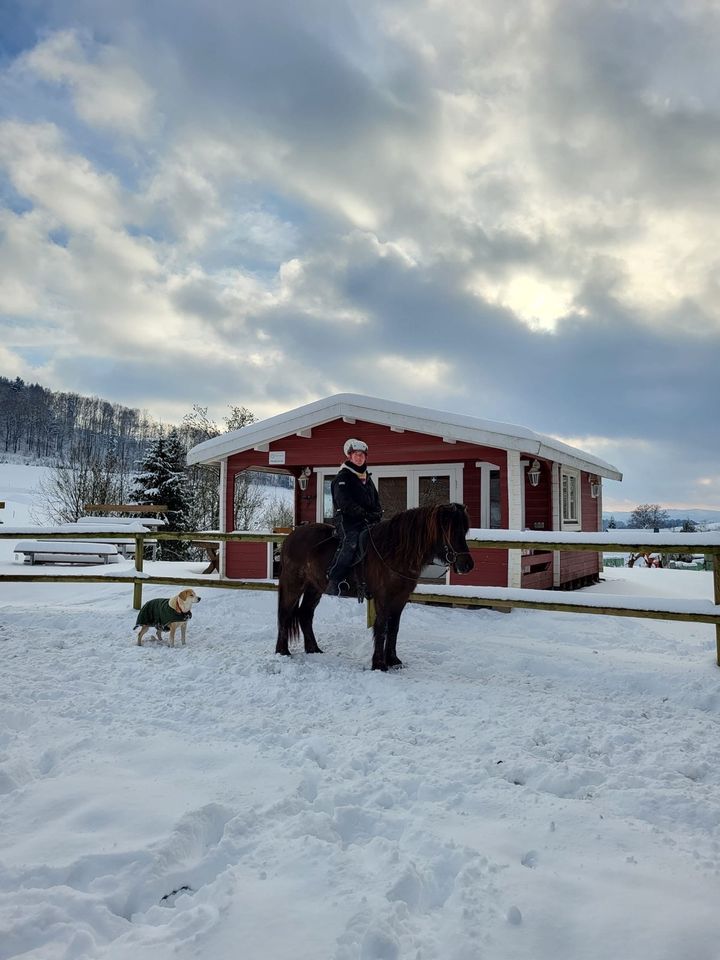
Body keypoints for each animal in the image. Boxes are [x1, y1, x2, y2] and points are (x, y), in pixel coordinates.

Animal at [274, 506, 472, 672]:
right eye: (452, 531)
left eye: (464, 531)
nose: (467, 565)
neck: (394, 552)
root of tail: (290, 537)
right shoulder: (383, 598)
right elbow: (382, 627)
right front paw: (379, 664)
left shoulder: (400, 598)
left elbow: (394, 628)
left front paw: (393, 661)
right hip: (294, 584)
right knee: (285, 613)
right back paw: (282, 651)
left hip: (314, 588)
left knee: (305, 614)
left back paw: (313, 649)